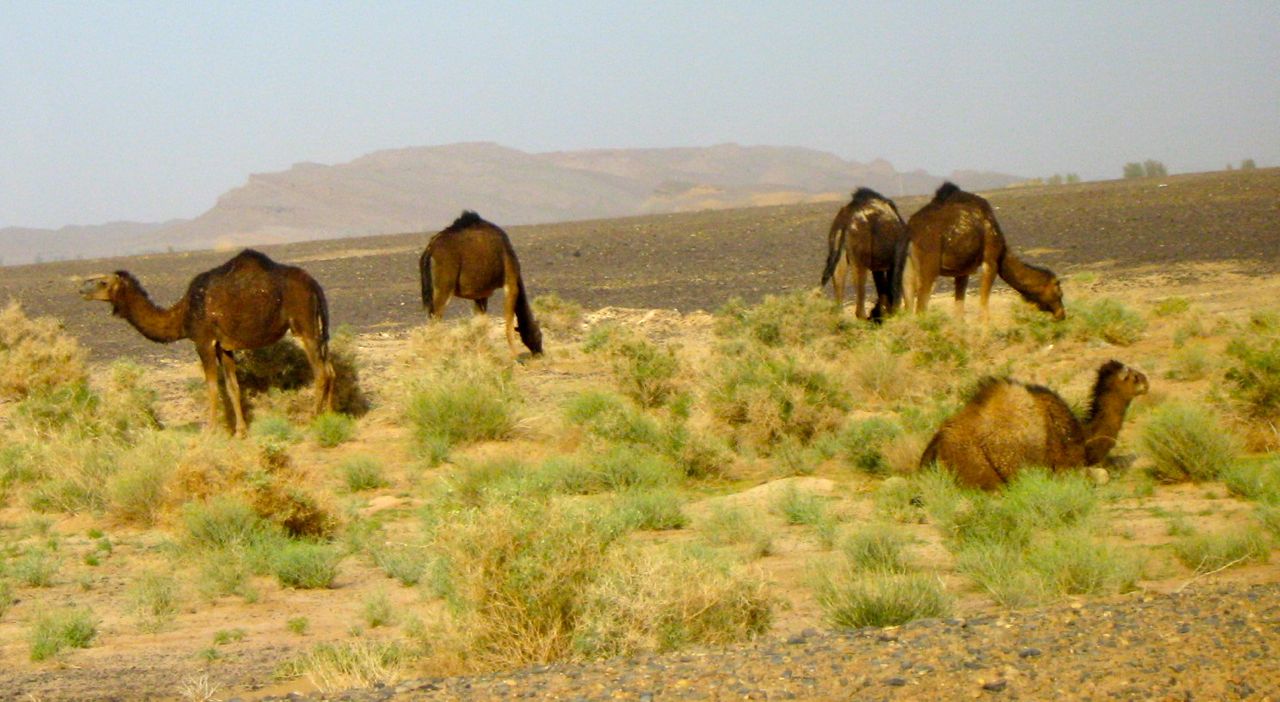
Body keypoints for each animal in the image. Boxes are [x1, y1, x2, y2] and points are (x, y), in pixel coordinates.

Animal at [77, 247, 332, 432]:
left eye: (103, 282)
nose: (82, 290)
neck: (182, 314)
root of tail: (314, 285)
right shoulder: (224, 346)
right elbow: (232, 387)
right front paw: (240, 432)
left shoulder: (203, 341)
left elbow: (211, 387)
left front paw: (209, 432)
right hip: (317, 327)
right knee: (330, 370)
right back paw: (330, 417)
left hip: (303, 324)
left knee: (320, 372)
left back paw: (312, 419)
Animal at [417, 211, 542, 356]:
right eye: (539, 334)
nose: (540, 352)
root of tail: (430, 248)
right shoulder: (511, 283)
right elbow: (508, 321)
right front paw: (514, 355)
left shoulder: (481, 294)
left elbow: (481, 322)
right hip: (444, 287)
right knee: (435, 316)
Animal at [819, 187, 911, 317]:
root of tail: (847, 218)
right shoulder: (894, 262)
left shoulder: (878, 266)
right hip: (859, 260)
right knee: (859, 308)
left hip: (839, 253)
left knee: (839, 296)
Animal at [885, 181, 1064, 322]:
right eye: (1059, 292)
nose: (1062, 314)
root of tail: (909, 232)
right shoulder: (990, 261)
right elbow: (983, 307)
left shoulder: (962, 271)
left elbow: (959, 310)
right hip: (929, 266)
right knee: (921, 306)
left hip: (907, 271)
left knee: (909, 305)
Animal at [921, 361, 1152, 489]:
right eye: (1134, 377)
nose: (1147, 381)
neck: (1082, 437)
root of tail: (936, 444)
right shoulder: (1065, 467)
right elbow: (1102, 476)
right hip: (975, 463)